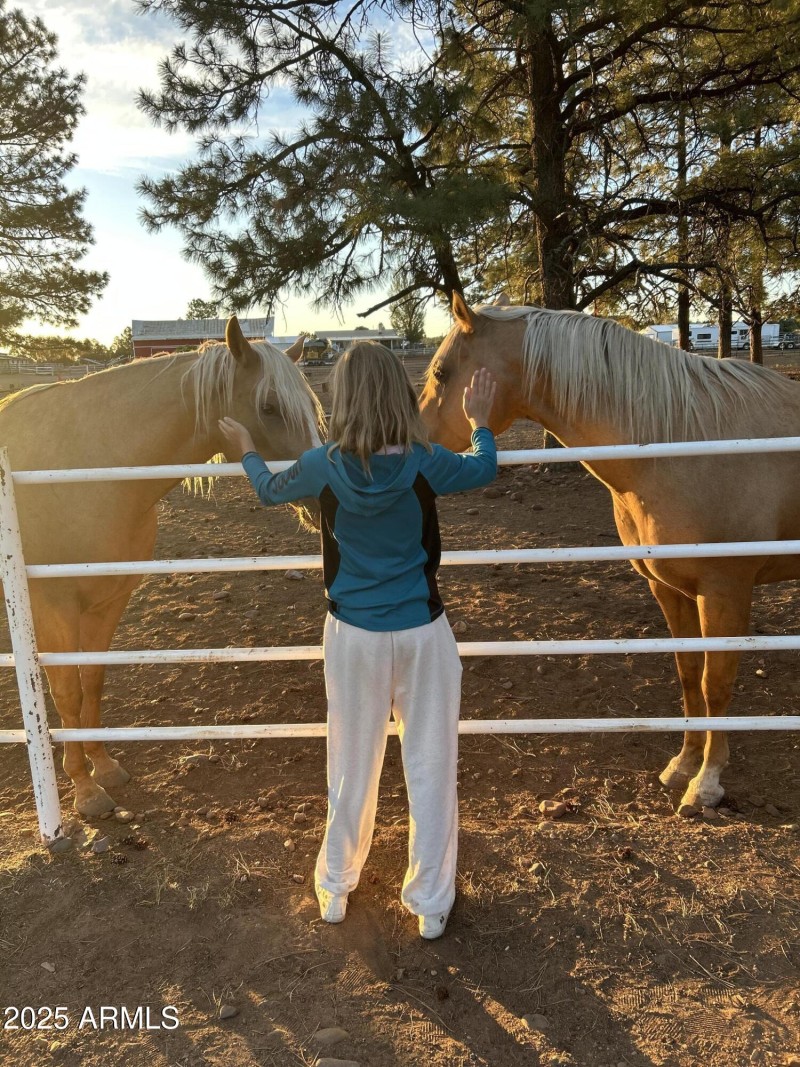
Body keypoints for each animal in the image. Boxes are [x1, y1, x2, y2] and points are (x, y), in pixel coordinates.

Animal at [0, 318, 323, 816]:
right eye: (269, 406)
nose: (327, 493)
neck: (86, 469)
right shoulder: (52, 609)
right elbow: (67, 692)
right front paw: (84, 789)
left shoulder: (109, 600)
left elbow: (92, 680)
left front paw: (103, 766)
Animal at [419, 293, 800, 814]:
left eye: (441, 373)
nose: (406, 444)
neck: (679, 443)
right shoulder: (667, 588)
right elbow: (688, 675)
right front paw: (683, 765)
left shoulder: (726, 592)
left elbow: (714, 683)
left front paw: (707, 783)